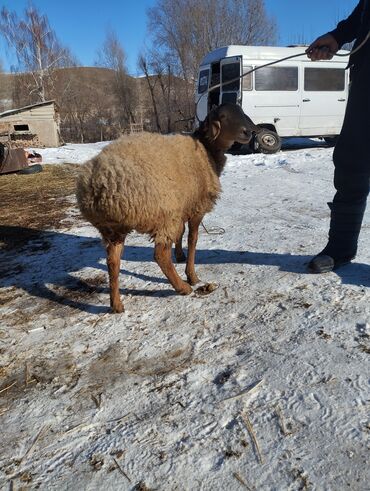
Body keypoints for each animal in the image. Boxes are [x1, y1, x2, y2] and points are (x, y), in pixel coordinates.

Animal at [76, 104, 256, 314]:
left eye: (240, 111)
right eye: (223, 116)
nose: (248, 132)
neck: (207, 150)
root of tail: (98, 184)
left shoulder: (183, 207)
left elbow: (182, 233)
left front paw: (180, 255)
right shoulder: (196, 208)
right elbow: (193, 239)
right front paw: (191, 275)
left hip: (113, 229)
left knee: (113, 261)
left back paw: (116, 304)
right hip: (163, 214)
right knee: (160, 254)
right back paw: (182, 287)